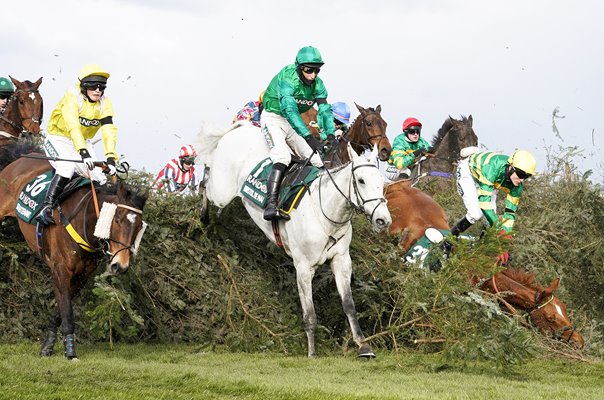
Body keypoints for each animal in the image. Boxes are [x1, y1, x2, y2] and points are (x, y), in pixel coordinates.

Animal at [0, 145, 147, 360]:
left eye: (138, 226)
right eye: (117, 219)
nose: (120, 266)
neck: (84, 221)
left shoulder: (82, 276)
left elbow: (59, 309)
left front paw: (47, 346)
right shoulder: (61, 270)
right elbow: (67, 312)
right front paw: (70, 351)